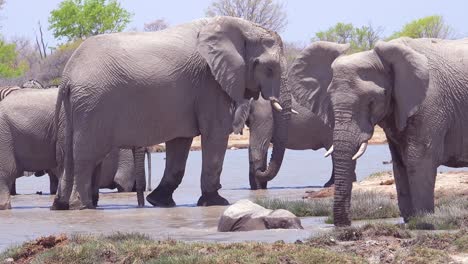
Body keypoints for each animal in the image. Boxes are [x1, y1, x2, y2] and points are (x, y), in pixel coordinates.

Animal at [0, 87, 149, 209]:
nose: (140, 206)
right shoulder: (67, 124)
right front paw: (64, 205)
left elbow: (95, 166)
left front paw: (90, 205)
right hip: (4, 135)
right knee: (7, 172)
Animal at [52, 16, 284, 210]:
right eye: (269, 69)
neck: (242, 26)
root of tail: (67, 76)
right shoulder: (209, 82)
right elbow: (215, 134)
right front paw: (217, 202)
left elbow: (180, 142)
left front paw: (160, 202)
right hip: (92, 105)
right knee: (86, 156)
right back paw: (82, 206)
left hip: (75, 107)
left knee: (68, 155)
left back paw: (62, 205)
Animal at [312, 37, 468, 227]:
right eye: (330, 100)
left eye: (371, 101)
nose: (345, 225)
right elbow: (400, 162)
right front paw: (410, 220)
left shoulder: (430, 103)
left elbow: (418, 159)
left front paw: (424, 221)